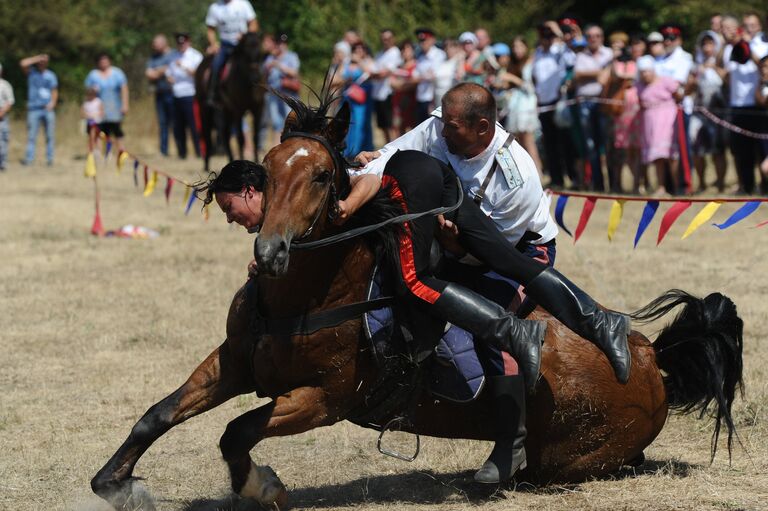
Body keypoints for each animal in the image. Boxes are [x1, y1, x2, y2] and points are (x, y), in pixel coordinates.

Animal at [91, 94, 744, 510]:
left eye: (322, 175)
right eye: (271, 170)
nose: (270, 252)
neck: (303, 297)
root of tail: (654, 365)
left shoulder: (321, 399)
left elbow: (237, 433)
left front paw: (265, 487)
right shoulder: (234, 363)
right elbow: (159, 414)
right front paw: (115, 484)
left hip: (569, 456)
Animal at [195, 32, 268, 172]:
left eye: (260, 53)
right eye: (245, 53)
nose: (256, 77)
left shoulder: (258, 108)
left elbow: (256, 137)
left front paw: (256, 161)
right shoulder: (238, 110)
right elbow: (240, 138)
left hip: (226, 110)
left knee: (225, 134)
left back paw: (230, 160)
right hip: (205, 108)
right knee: (207, 135)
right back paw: (206, 165)